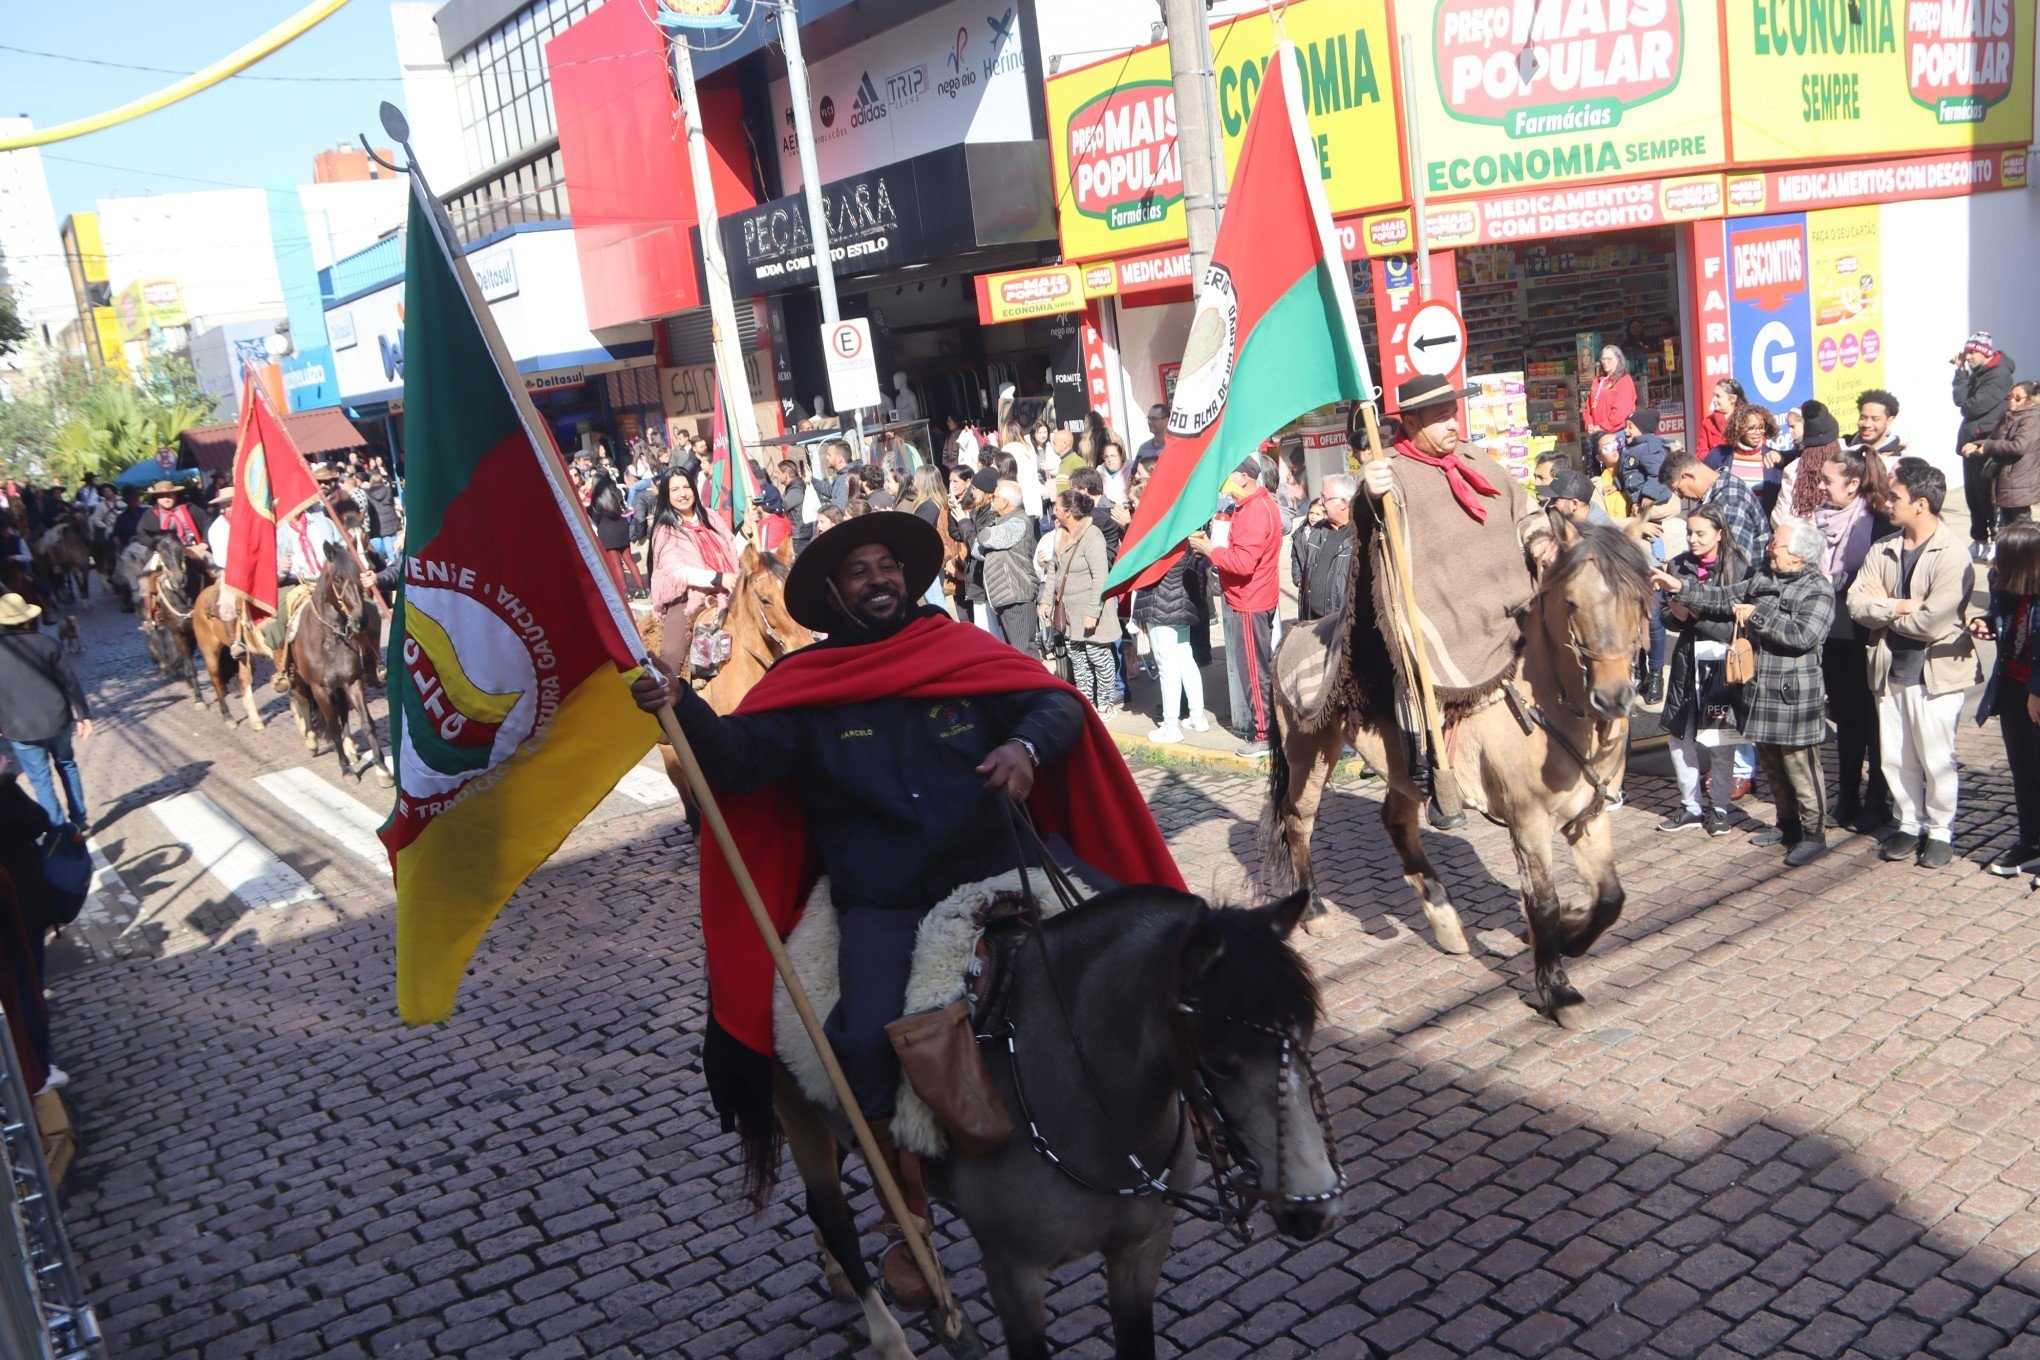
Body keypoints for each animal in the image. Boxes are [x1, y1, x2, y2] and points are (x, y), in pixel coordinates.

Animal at [291, 554, 393, 787]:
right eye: (337, 579)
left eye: (359, 576)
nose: (360, 620)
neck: (331, 639)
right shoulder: (320, 689)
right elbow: (333, 728)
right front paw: (346, 770)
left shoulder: (351, 681)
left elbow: (366, 723)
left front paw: (382, 769)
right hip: (300, 680)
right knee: (303, 701)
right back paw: (311, 740)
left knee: (343, 710)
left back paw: (350, 747)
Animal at [758, 888, 1346, 1353]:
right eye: (1222, 1063)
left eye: (1305, 1034)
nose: (1312, 1209)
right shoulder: (1014, 1276)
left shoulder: (1140, 1253)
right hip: (798, 1115)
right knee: (833, 1213)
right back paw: (890, 1334)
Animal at [1264, 521, 1648, 1031]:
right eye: (1571, 602)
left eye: (1638, 597)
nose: (1613, 697)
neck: (1551, 709)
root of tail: (1295, 630)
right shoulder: (1528, 822)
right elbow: (1542, 904)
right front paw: (1558, 989)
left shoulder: (1590, 815)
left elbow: (1610, 898)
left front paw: (1571, 934)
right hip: (1309, 750)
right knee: (1299, 821)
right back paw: (1316, 909)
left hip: (1400, 767)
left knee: (1397, 819)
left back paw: (1443, 915)